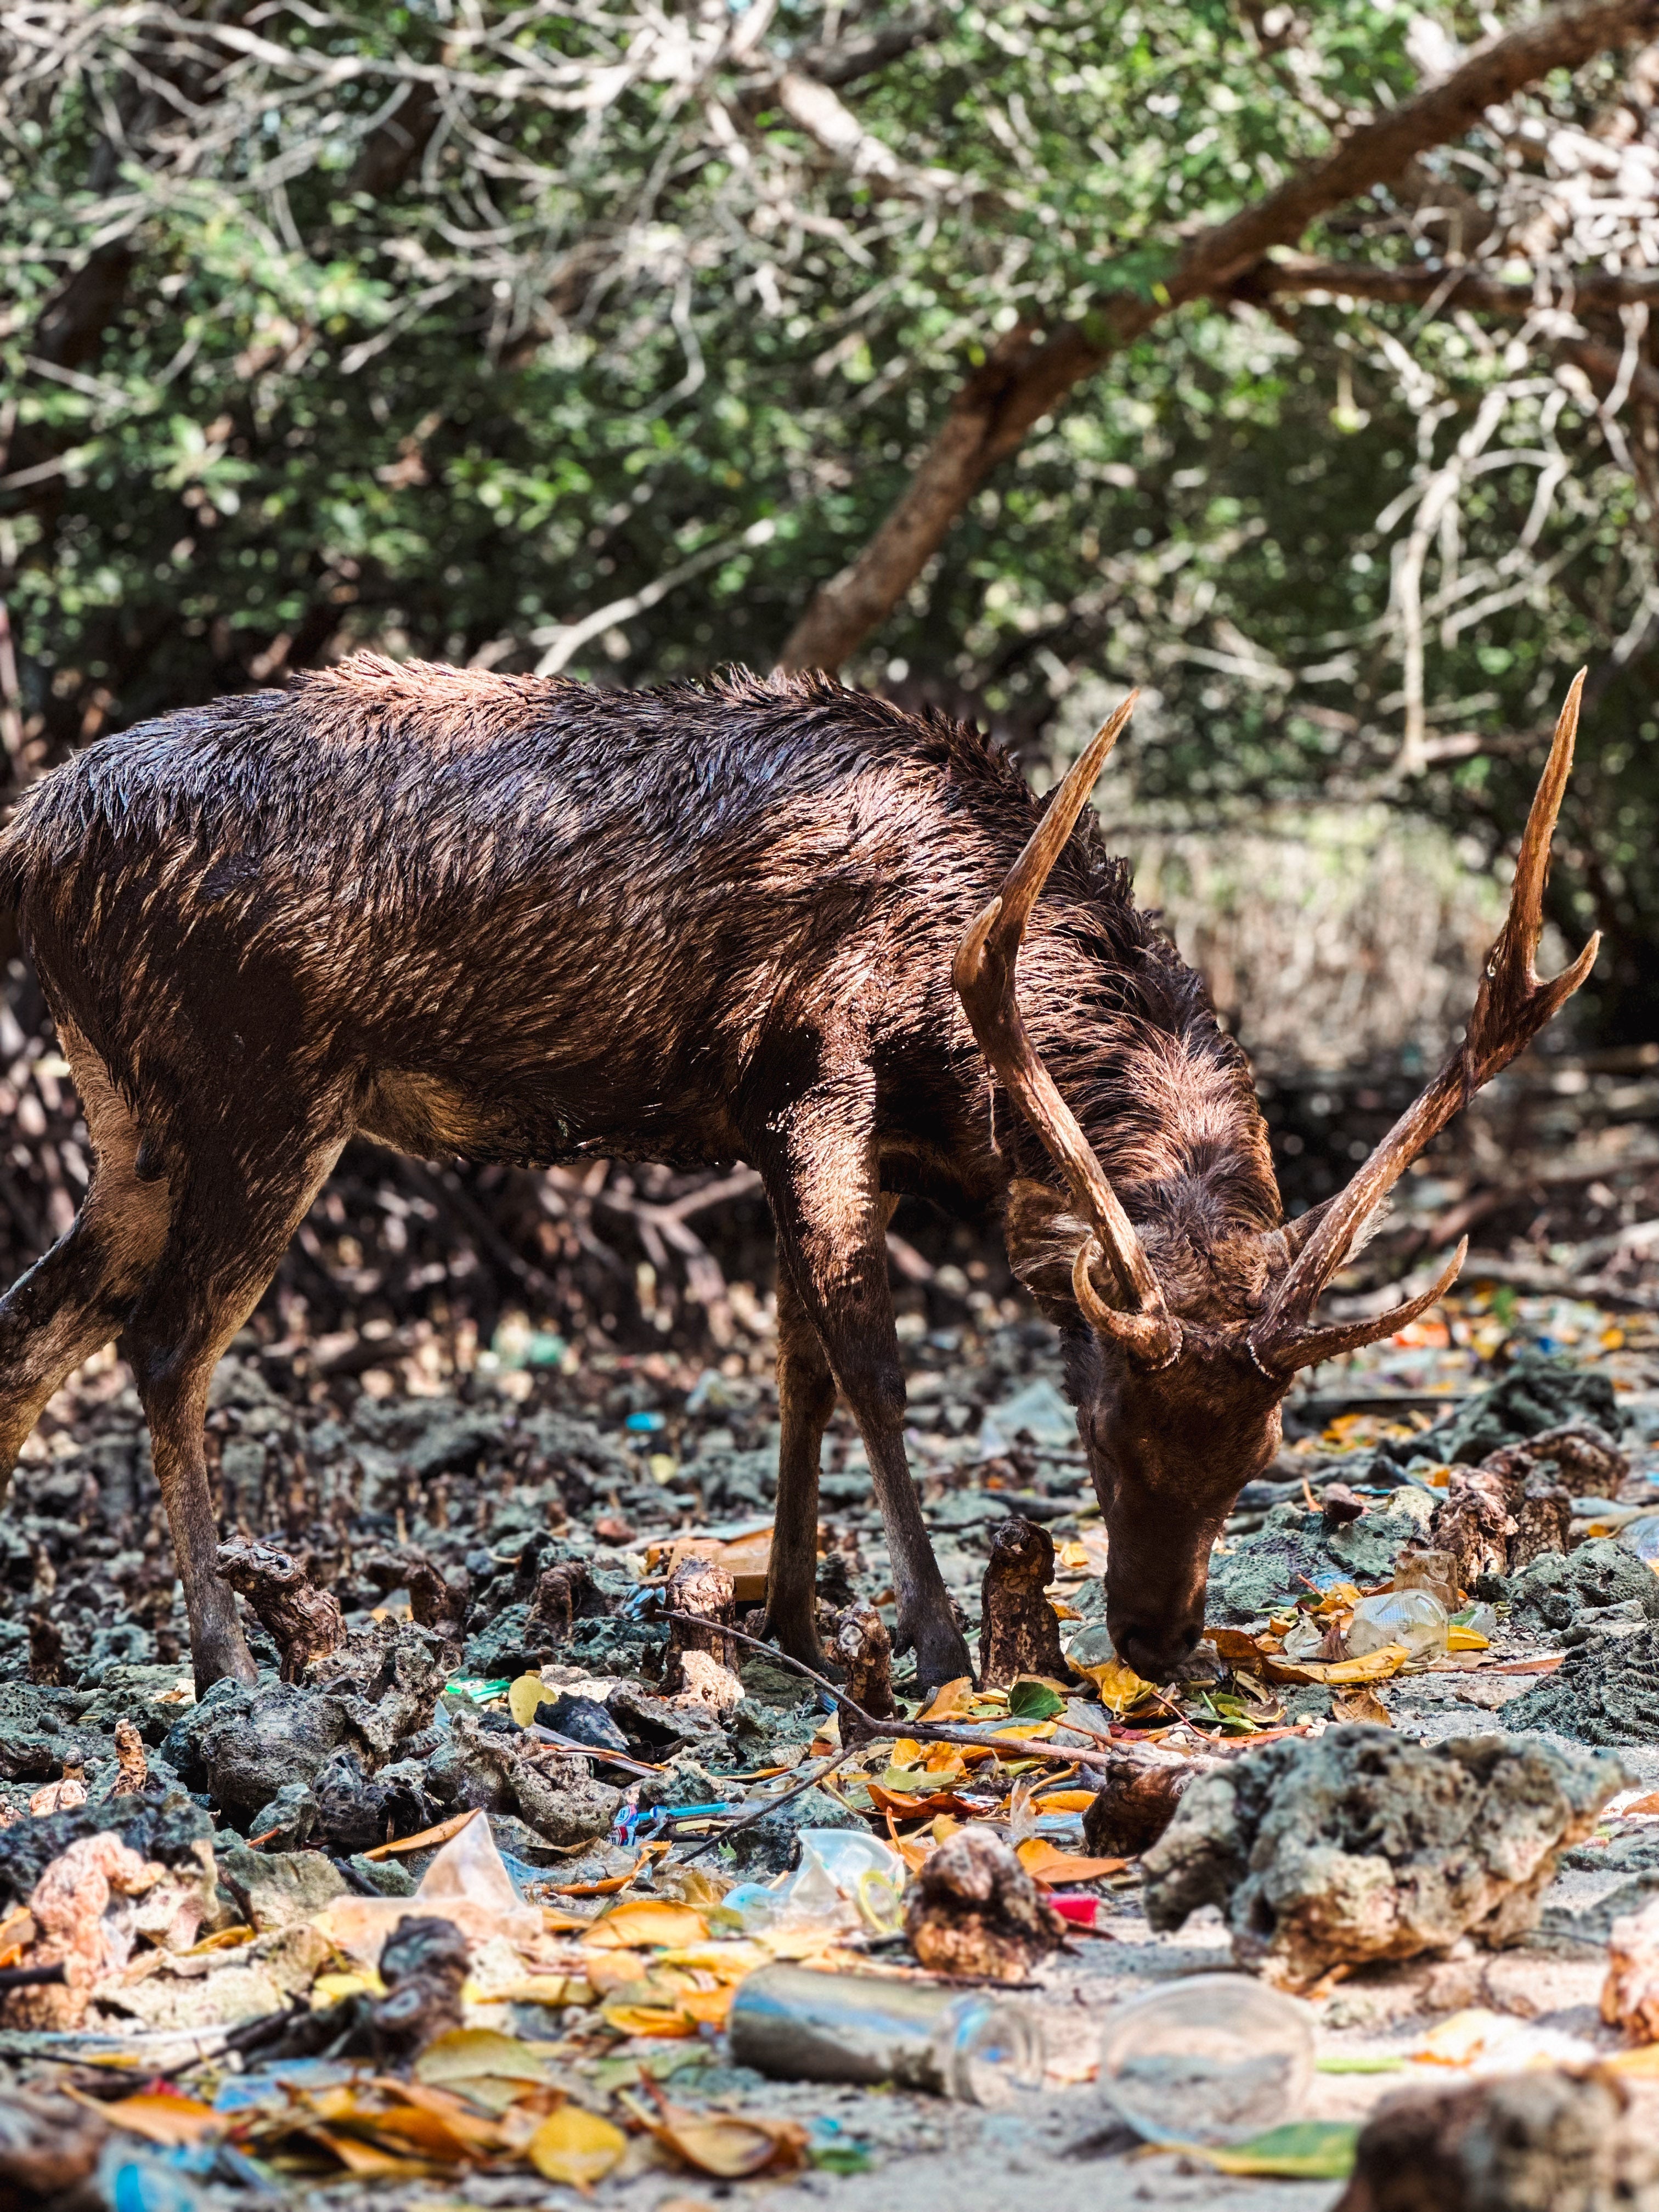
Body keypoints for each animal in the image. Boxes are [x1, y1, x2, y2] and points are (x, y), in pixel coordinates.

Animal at [0, 655, 1595, 1695]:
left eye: (1264, 1453)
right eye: (1100, 1425)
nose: (1154, 1638)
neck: (966, 1051)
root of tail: (28, 836)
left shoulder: (817, 1134)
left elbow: (797, 1371)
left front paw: (792, 1620)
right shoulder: (809, 1080)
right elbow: (871, 1364)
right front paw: (936, 1642)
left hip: (130, 1107)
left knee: (38, 1321)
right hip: (262, 1078)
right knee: (164, 1342)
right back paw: (223, 1663)